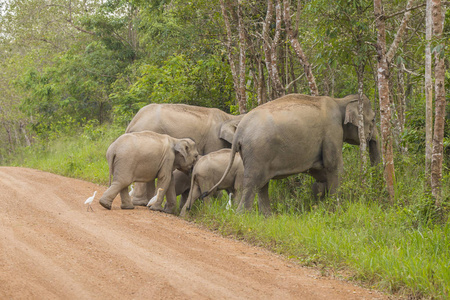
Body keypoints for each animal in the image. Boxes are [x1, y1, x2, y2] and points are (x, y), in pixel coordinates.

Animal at [204, 94, 380, 216]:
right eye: (373, 119)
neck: (340, 101)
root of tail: (239, 131)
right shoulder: (333, 131)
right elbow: (334, 166)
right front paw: (335, 211)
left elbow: (319, 170)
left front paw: (321, 201)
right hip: (258, 151)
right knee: (253, 183)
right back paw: (243, 216)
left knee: (262, 184)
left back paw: (268, 217)